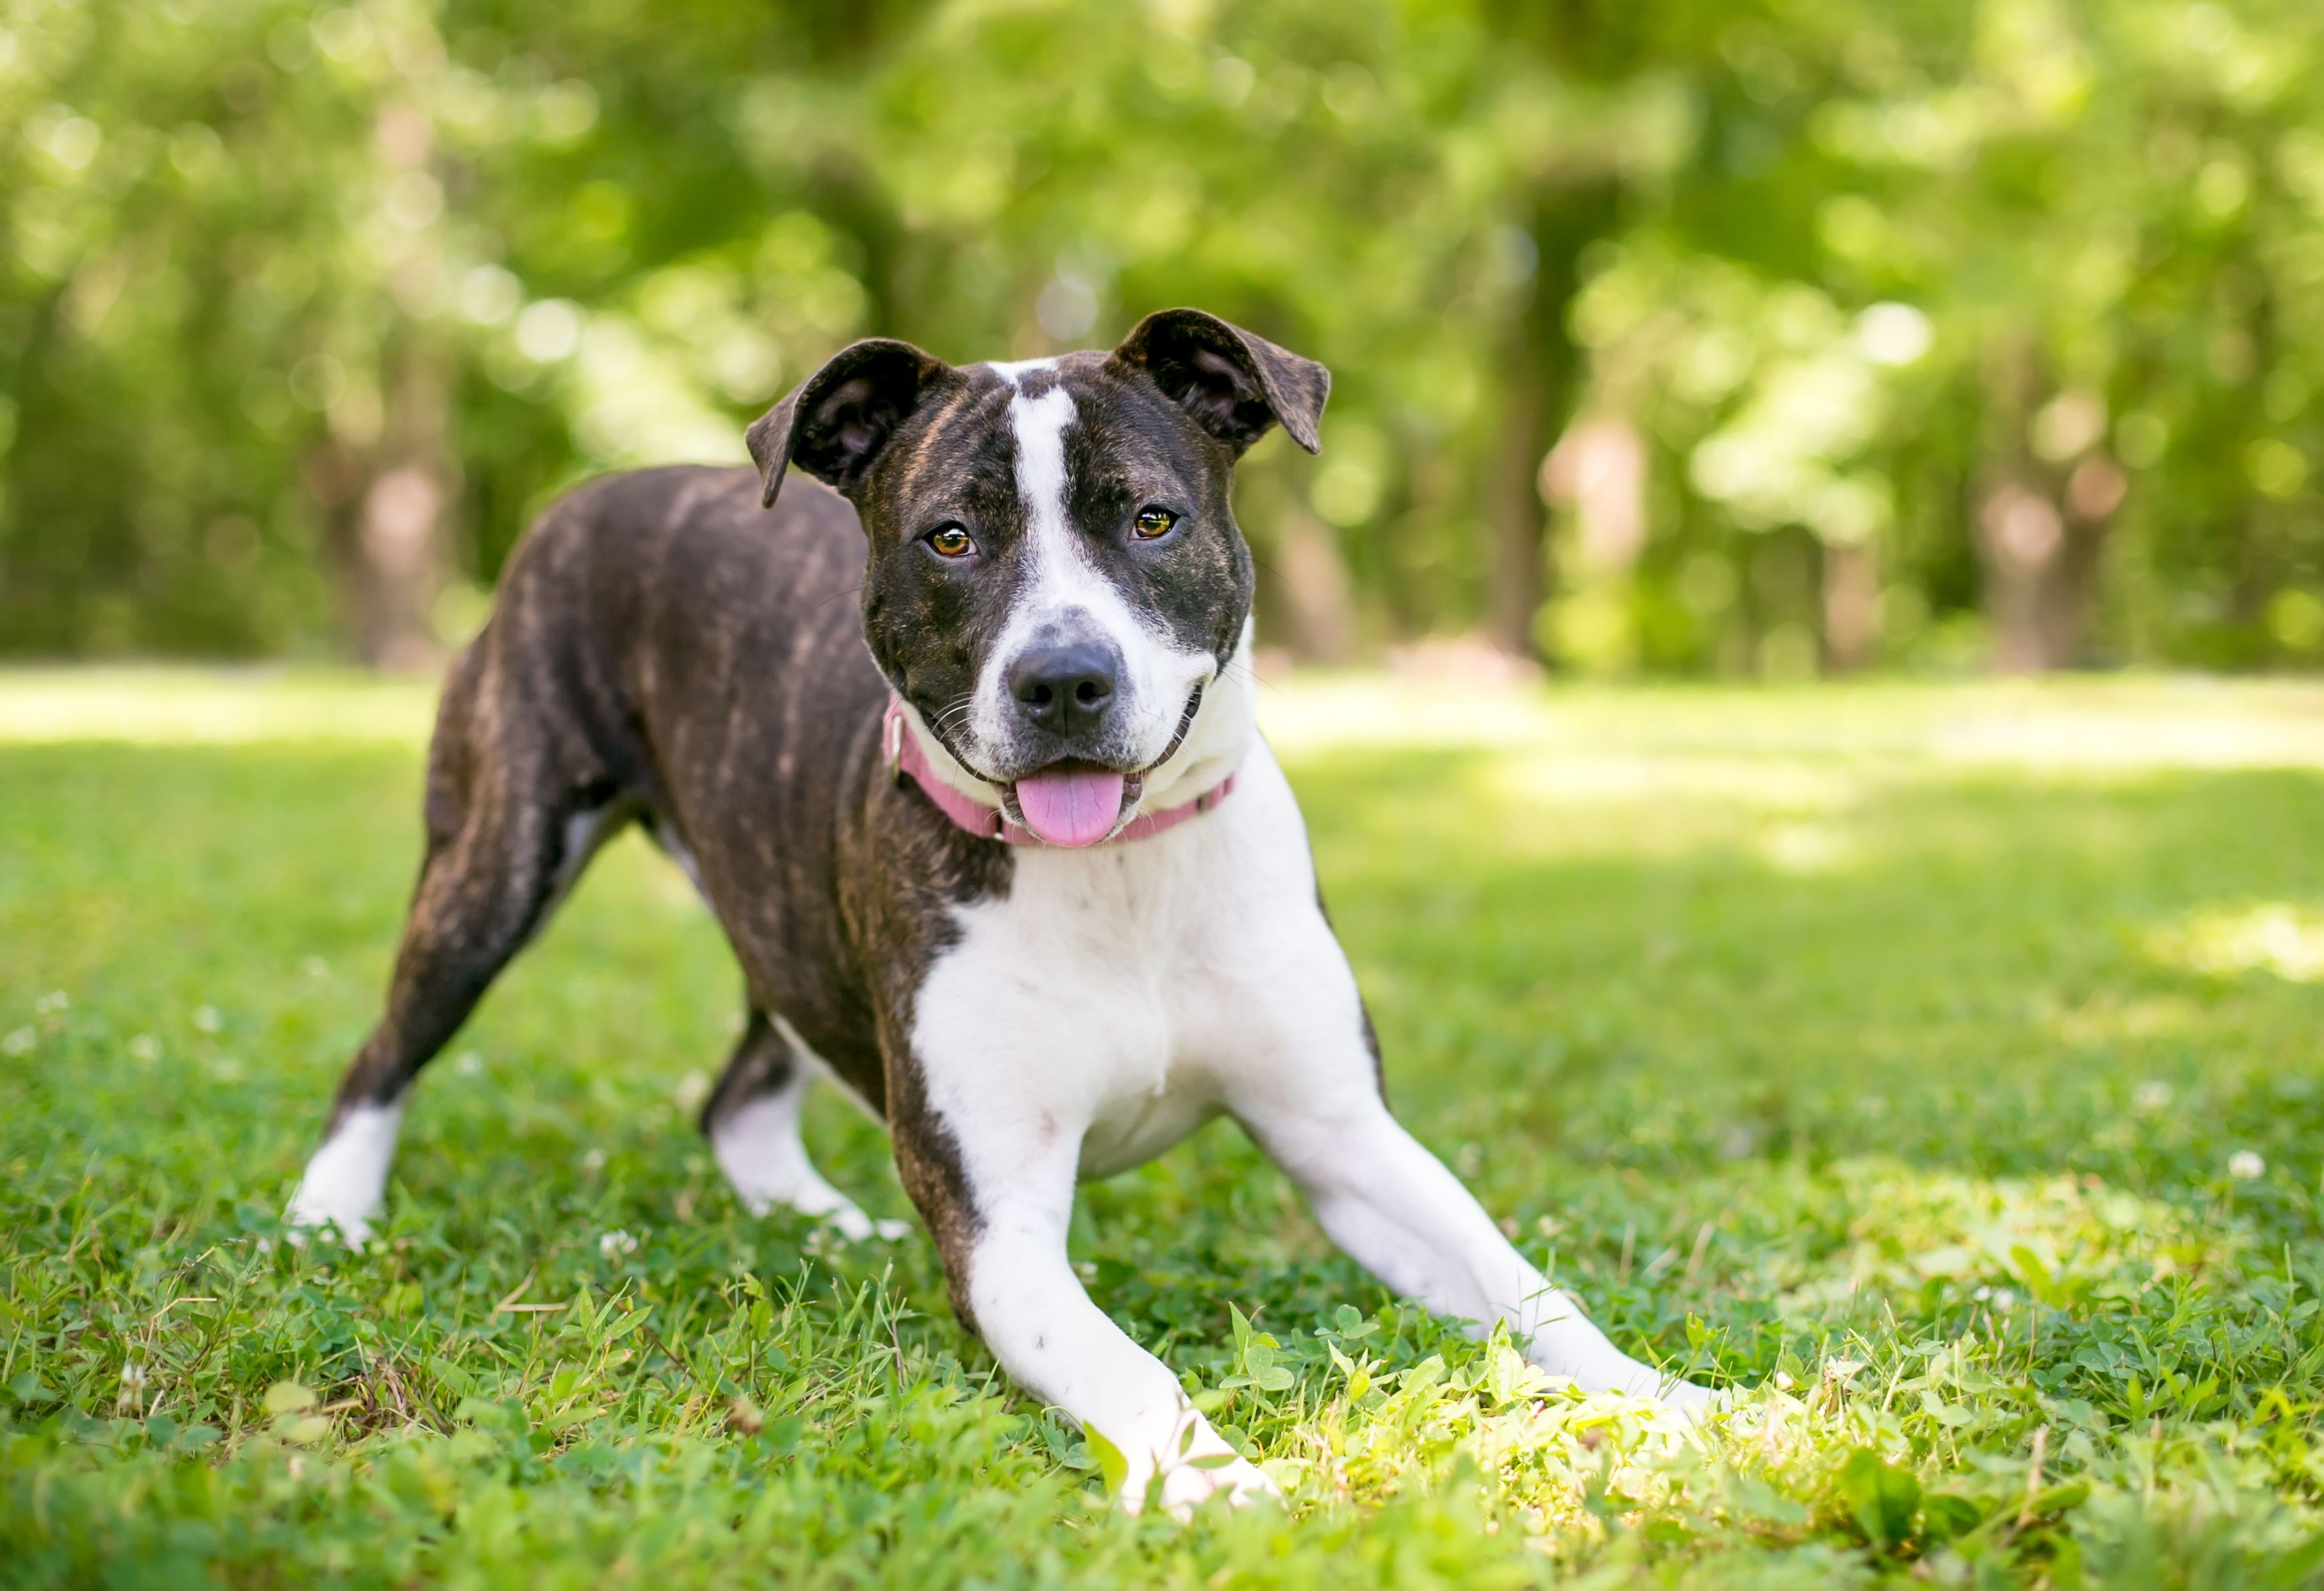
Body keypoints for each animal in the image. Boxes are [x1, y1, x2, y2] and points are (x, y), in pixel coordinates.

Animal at [286, 306, 1710, 1505]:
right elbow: (1133, 1368)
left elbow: (1519, 1281)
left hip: (779, 911)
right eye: (950, 538)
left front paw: (1669, 1399)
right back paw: (329, 1216)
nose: (1063, 678)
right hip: (497, 861)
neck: (1119, 872)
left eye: (1150, 520)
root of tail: (598, 493)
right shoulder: (1002, 1231)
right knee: (386, 1050)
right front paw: (1216, 1483)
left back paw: (821, 1220)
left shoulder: (1341, 1135)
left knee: (741, 1088)